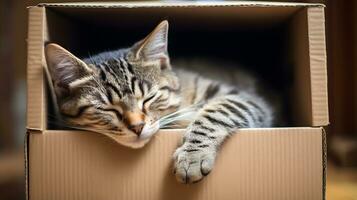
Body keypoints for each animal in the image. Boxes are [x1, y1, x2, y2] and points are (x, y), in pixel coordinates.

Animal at [44, 20, 272, 184]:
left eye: (149, 98)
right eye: (106, 108)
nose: (137, 127)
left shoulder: (242, 97)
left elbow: (217, 112)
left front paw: (193, 155)